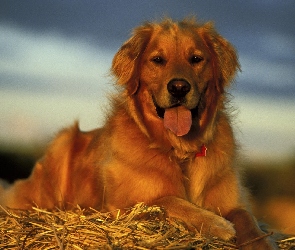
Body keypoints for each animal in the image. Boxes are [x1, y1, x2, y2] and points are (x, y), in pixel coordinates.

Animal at [0, 18, 278, 248]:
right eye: (158, 60)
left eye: (196, 59)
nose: (179, 87)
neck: (179, 150)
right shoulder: (121, 205)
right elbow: (166, 200)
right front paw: (217, 224)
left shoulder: (235, 202)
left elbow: (251, 223)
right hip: (61, 145)